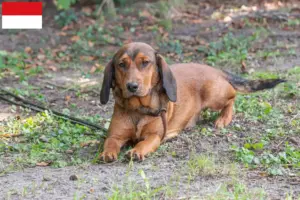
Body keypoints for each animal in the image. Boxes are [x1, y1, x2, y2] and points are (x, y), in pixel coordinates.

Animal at [99, 42, 286, 162]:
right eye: (121, 64)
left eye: (145, 63)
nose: (132, 86)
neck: (138, 108)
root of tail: (216, 70)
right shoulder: (115, 135)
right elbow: (110, 143)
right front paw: (107, 153)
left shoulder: (155, 136)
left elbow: (144, 142)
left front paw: (137, 150)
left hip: (214, 96)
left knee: (233, 98)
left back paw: (223, 119)